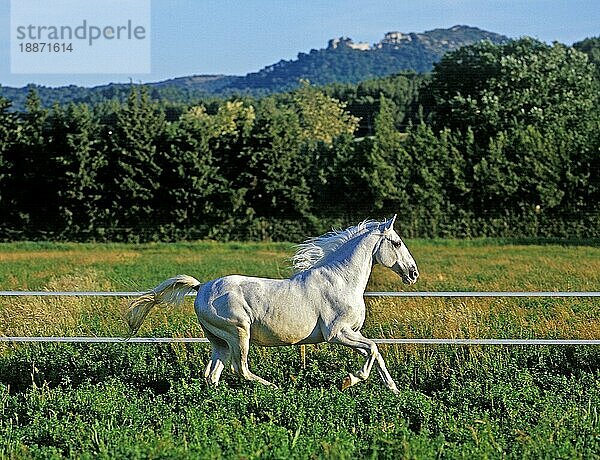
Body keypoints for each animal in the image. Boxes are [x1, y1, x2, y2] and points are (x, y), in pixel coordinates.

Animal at [126, 215, 418, 392]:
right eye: (396, 242)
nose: (413, 273)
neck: (341, 281)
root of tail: (201, 288)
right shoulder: (337, 333)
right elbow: (373, 349)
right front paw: (351, 380)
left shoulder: (352, 332)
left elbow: (376, 353)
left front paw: (393, 390)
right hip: (238, 333)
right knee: (240, 368)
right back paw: (274, 388)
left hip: (219, 341)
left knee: (212, 374)